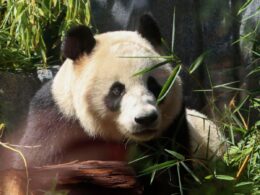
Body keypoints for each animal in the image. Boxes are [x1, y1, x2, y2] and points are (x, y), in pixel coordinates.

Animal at [5, 13, 225, 193]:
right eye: (117, 90)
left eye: (154, 85)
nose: (145, 119)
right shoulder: (57, 125)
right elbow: (38, 167)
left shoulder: (172, 129)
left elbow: (173, 172)